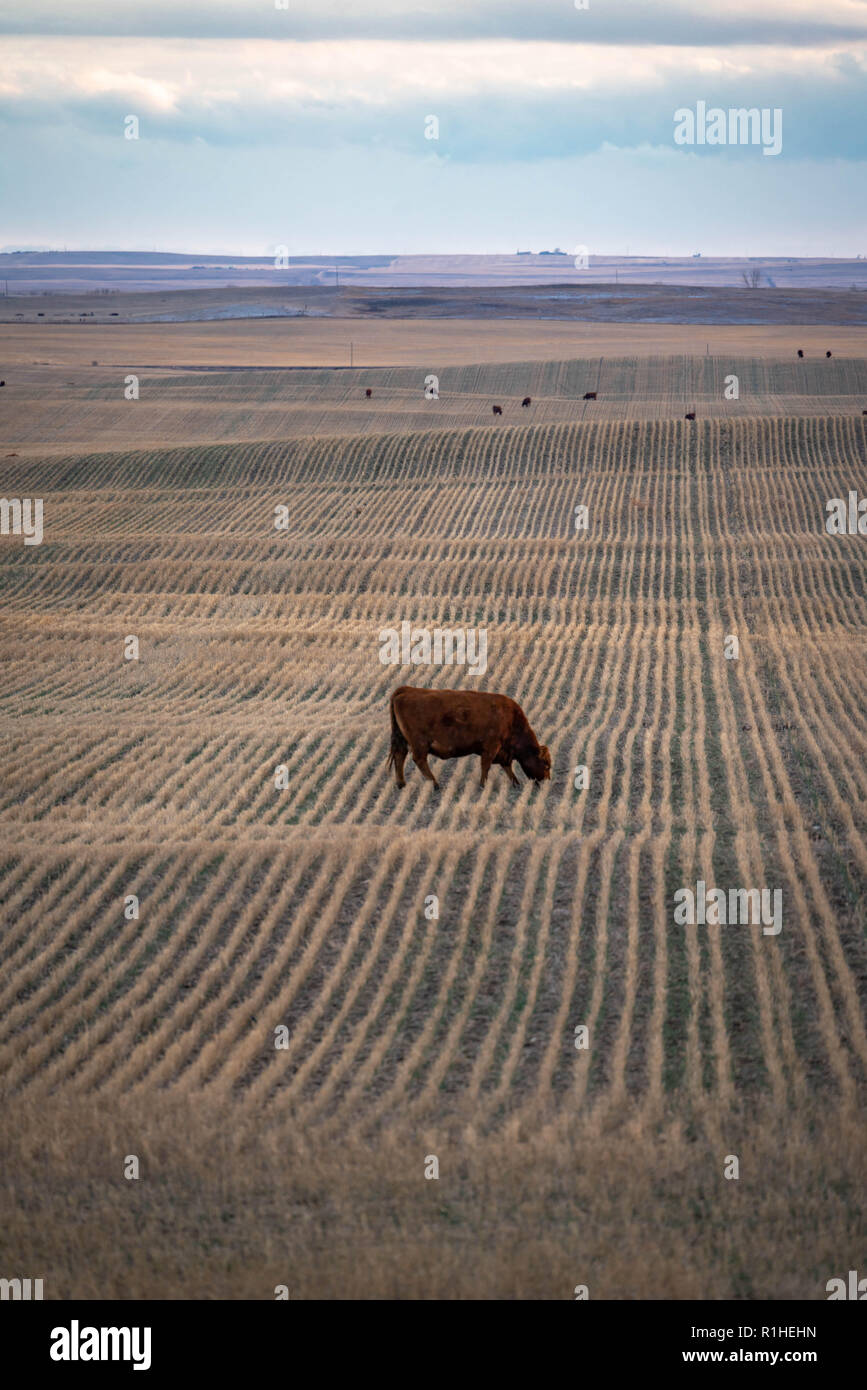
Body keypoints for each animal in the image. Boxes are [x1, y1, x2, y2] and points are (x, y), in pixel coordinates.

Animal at [389, 686, 552, 795]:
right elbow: (486, 766)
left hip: (403, 741)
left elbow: (507, 767)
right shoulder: (491, 747)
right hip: (420, 744)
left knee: (400, 757)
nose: (546, 781)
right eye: (546, 764)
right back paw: (435, 785)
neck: (511, 720)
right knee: (419, 760)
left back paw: (402, 784)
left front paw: (515, 783)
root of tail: (406, 690)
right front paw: (483, 785)